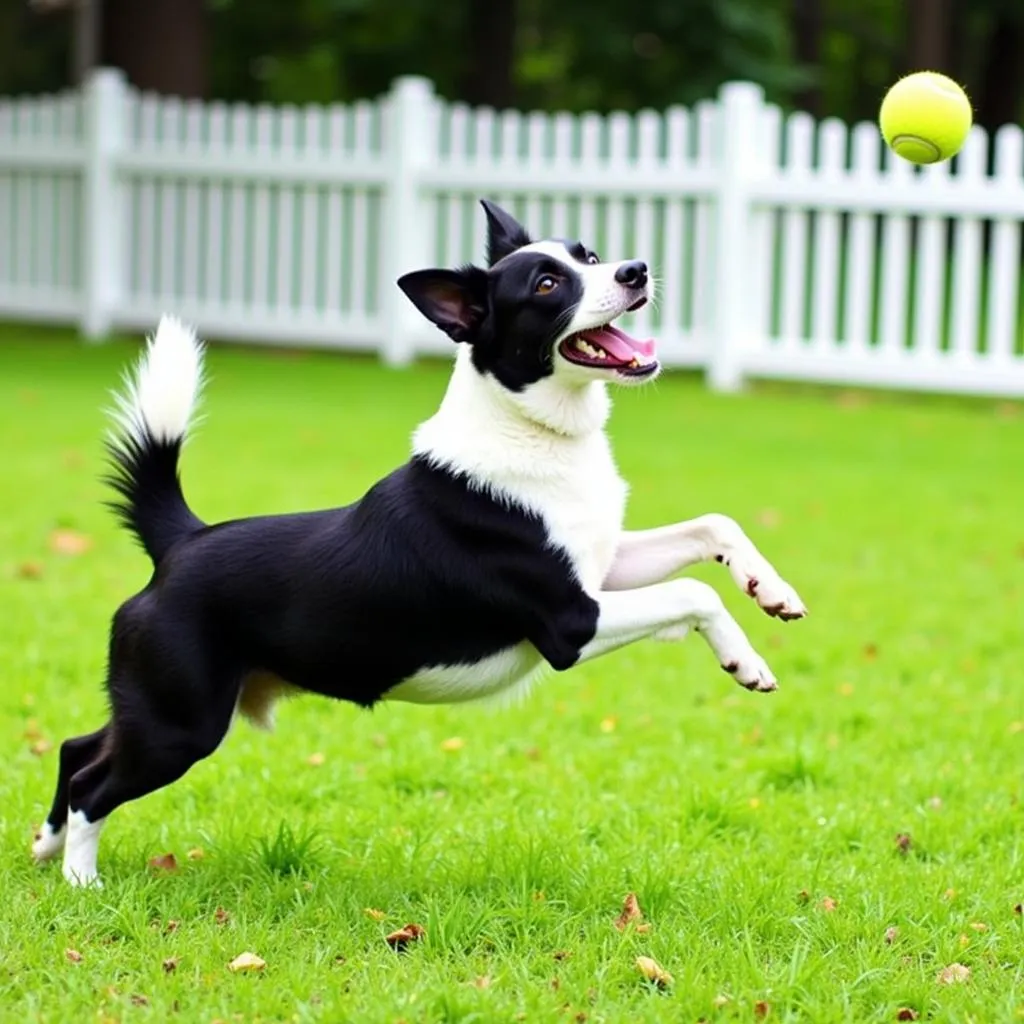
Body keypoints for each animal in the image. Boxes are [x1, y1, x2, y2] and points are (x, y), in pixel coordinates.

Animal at [34, 201, 806, 888]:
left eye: (587, 254)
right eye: (546, 285)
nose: (635, 269)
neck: (534, 433)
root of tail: (180, 544)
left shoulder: (606, 568)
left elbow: (713, 528)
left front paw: (773, 591)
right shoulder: (572, 622)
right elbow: (693, 591)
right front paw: (746, 662)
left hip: (159, 708)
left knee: (78, 748)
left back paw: (46, 847)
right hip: (181, 723)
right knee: (96, 783)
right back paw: (82, 880)